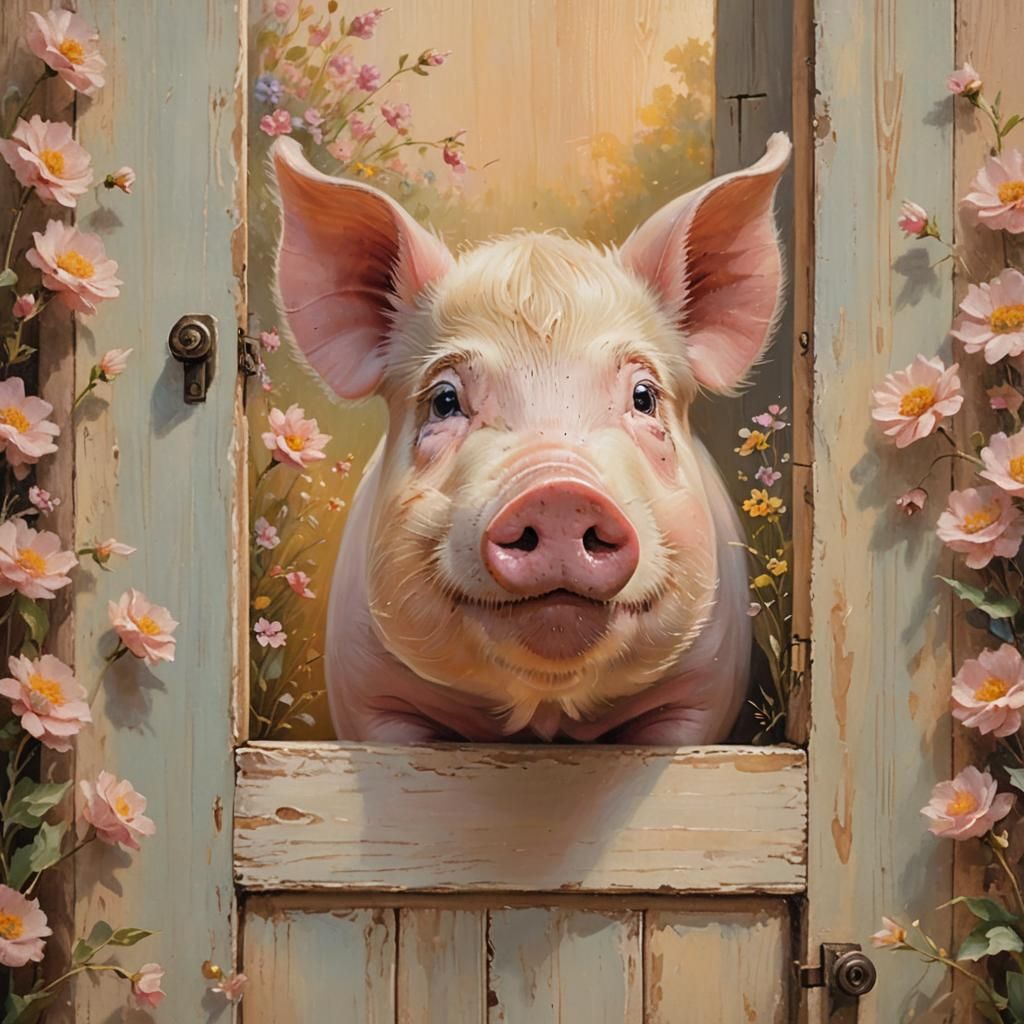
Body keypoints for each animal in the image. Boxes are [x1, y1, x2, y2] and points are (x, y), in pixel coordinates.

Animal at [271, 131, 791, 745]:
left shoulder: (699, 697)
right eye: (444, 399)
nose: (558, 492)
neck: (545, 715)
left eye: (643, 396)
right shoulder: (371, 697)